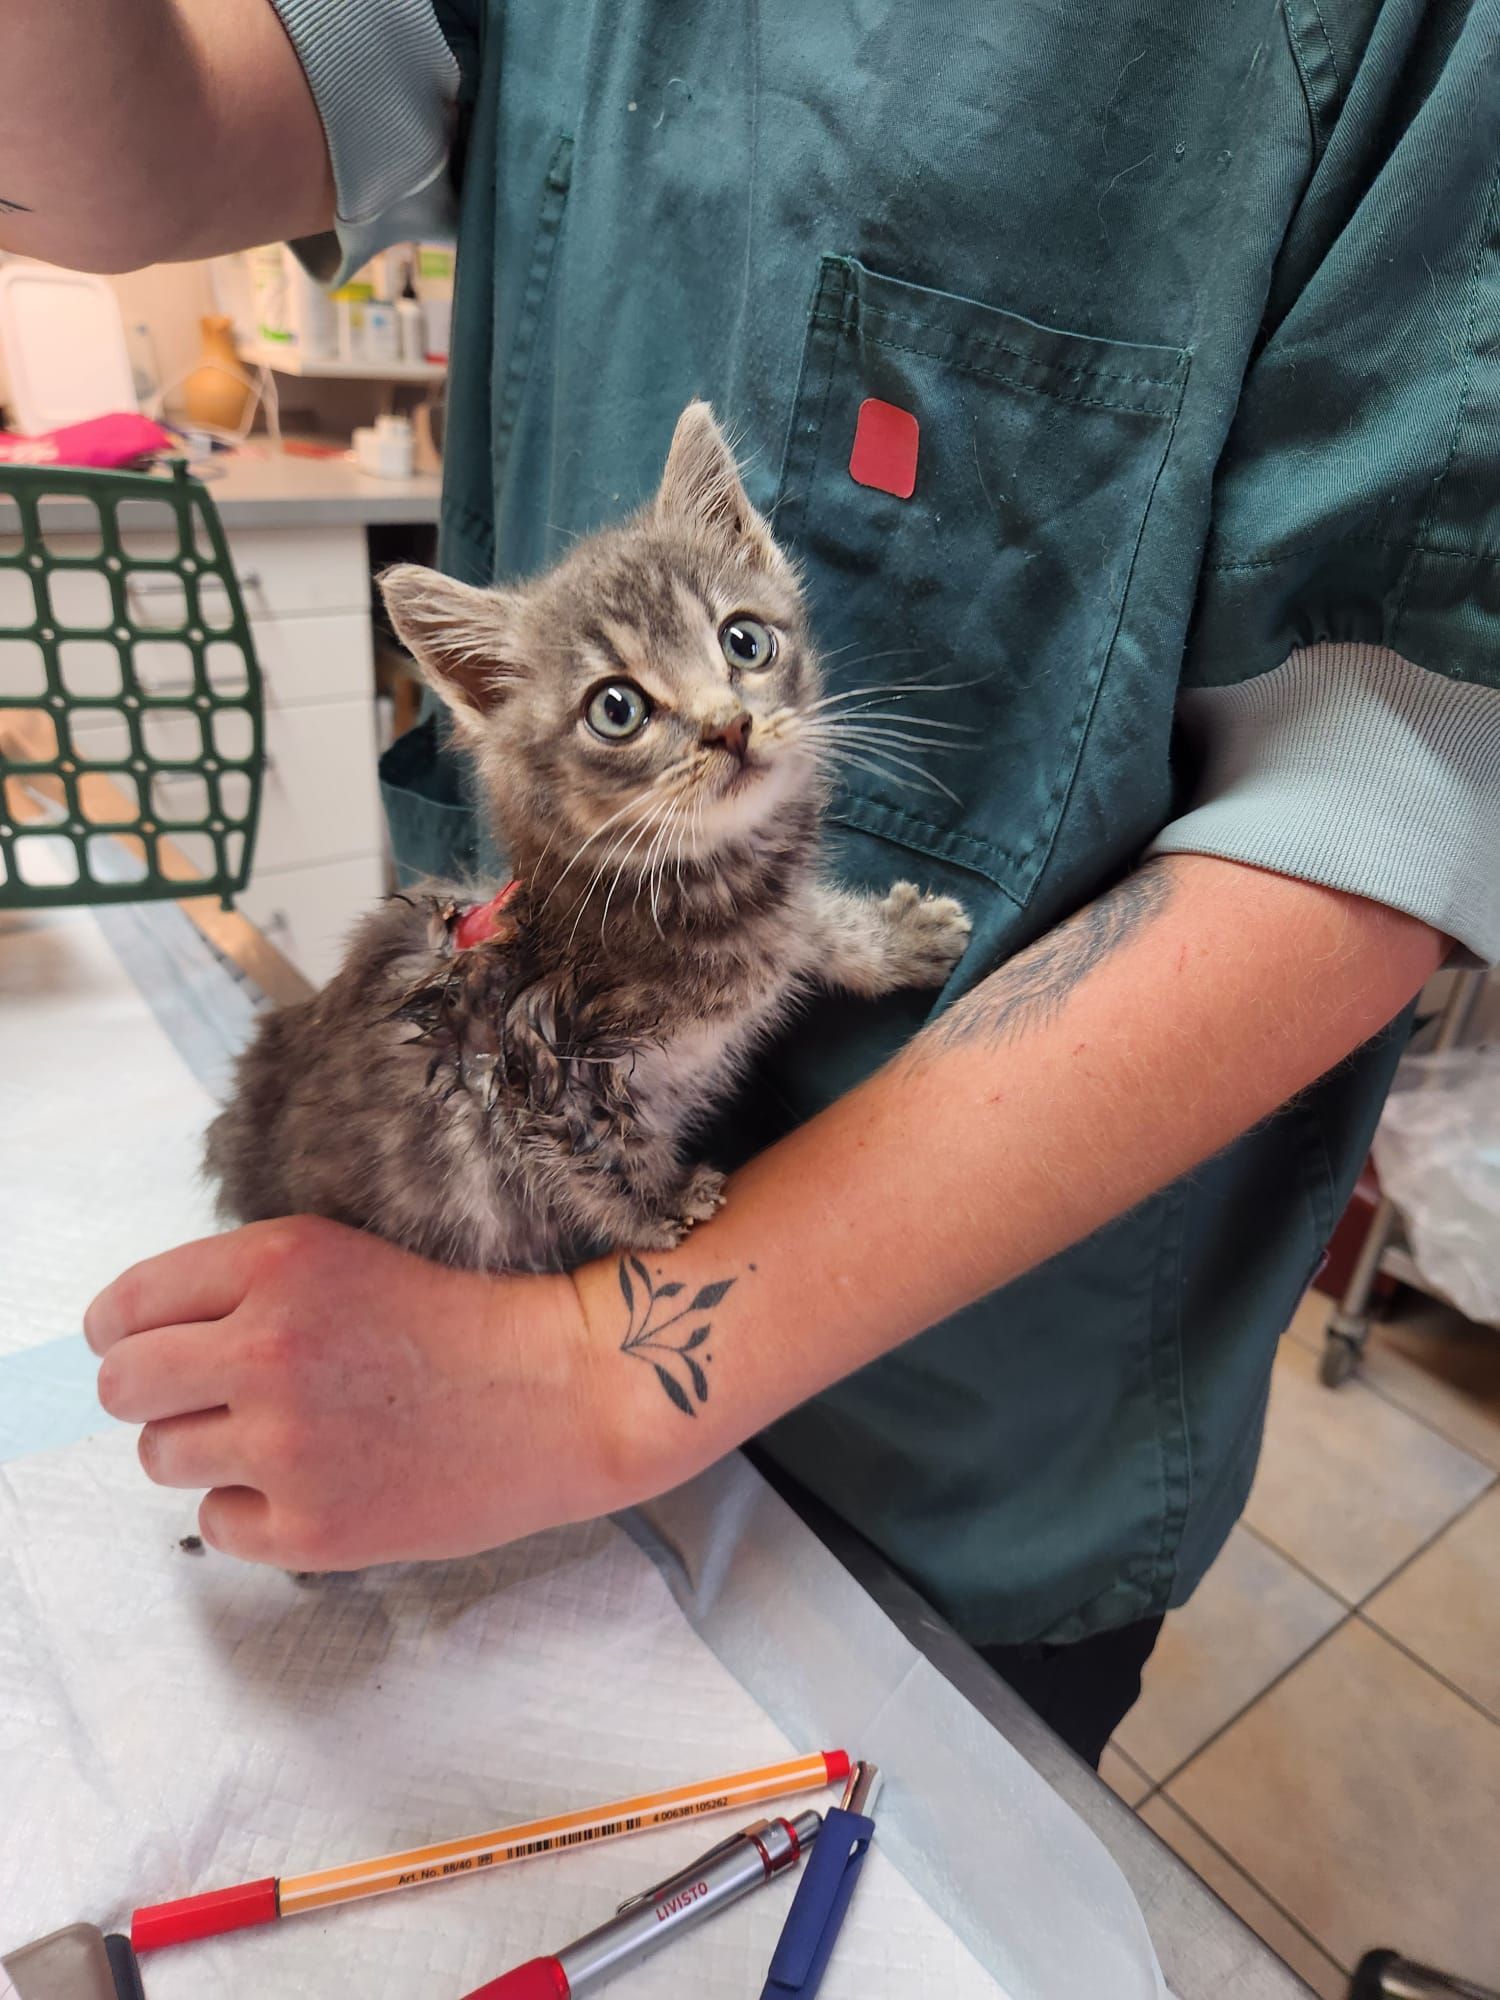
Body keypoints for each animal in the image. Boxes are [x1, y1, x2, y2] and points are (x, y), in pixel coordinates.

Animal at [205, 403, 971, 1273]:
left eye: (744, 641)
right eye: (616, 708)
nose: (729, 726)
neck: (705, 891)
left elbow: (810, 927)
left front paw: (894, 933)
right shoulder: (526, 1061)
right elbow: (589, 1148)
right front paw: (658, 1205)